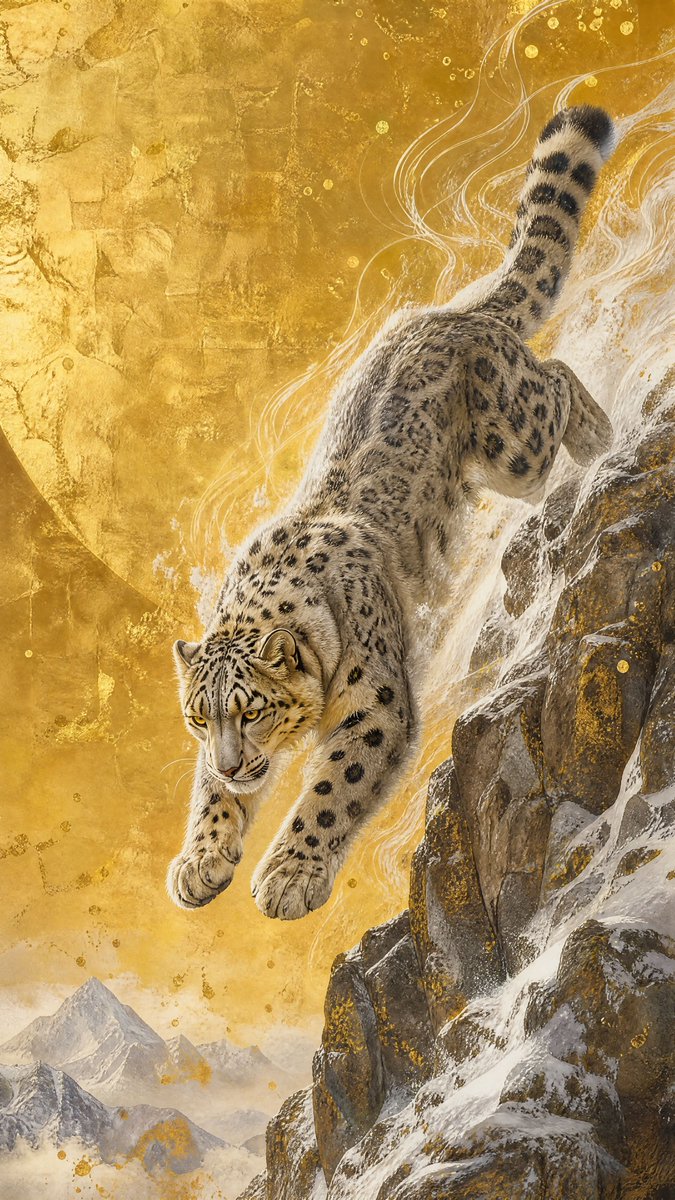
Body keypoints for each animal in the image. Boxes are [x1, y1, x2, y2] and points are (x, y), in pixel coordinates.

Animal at [167, 105, 615, 920]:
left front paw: (288, 876)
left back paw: (600, 440)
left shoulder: (371, 706)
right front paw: (201, 860)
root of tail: (446, 313)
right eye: (200, 716)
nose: (237, 762)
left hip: (515, 444)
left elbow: (328, 791)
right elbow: (206, 799)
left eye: (252, 710)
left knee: (560, 380)